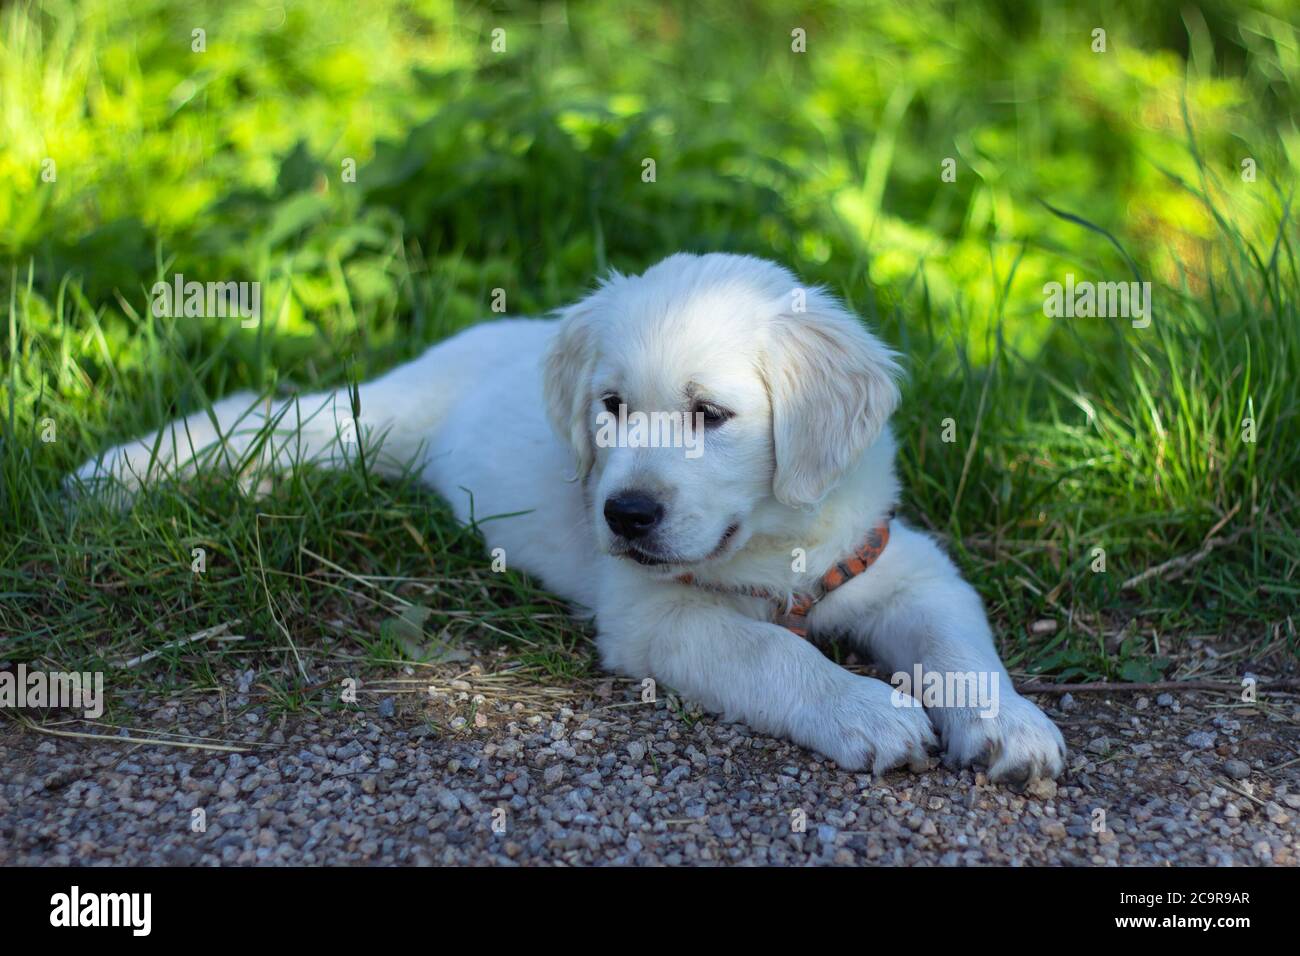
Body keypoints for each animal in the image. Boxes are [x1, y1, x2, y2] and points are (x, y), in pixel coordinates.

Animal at [71, 252, 1066, 785]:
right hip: (370, 429)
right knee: (269, 425)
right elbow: (768, 651)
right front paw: (864, 709)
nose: (624, 514)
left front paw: (1011, 724)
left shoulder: (897, 563)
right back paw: (128, 479)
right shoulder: (654, 614)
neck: (772, 546)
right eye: (613, 407)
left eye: (711, 414)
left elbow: (958, 643)